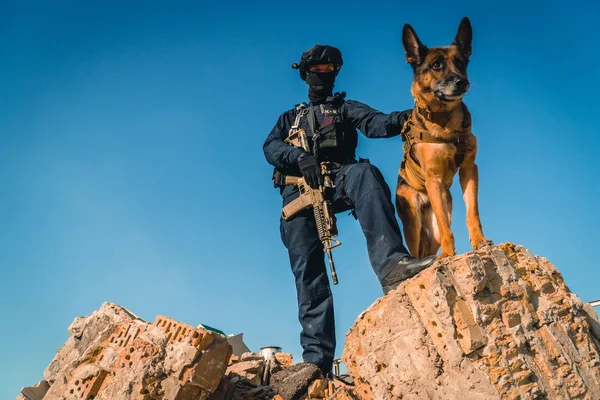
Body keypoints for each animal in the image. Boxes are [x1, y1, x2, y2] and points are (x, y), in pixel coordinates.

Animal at [396, 17, 490, 260]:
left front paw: (479, 241)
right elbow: (447, 228)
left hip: (436, 227)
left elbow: (473, 213)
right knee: (418, 249)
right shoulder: (434, 179)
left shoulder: (469, 170)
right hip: (413, 225)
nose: (461, 83)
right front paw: (448, 254)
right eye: (436, 65)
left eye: (461, 63)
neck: (446, 122)